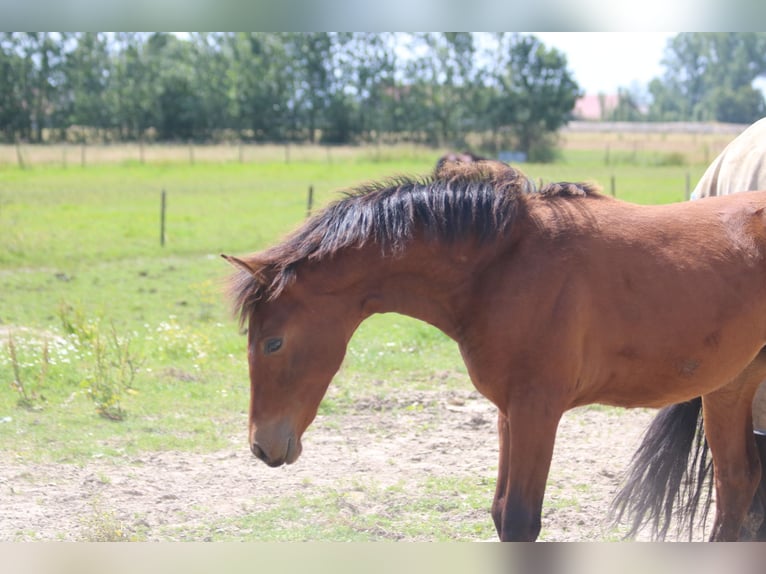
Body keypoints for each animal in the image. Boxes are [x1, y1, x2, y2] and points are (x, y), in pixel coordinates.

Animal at [225, 162, 766, 544]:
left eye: (273, 342)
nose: (261, 446)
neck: (503, 265)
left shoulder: (536, 410)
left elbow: (522, 519)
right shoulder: (510, 411)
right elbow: (502, 513)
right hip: (728, 388)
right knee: (737, 486)